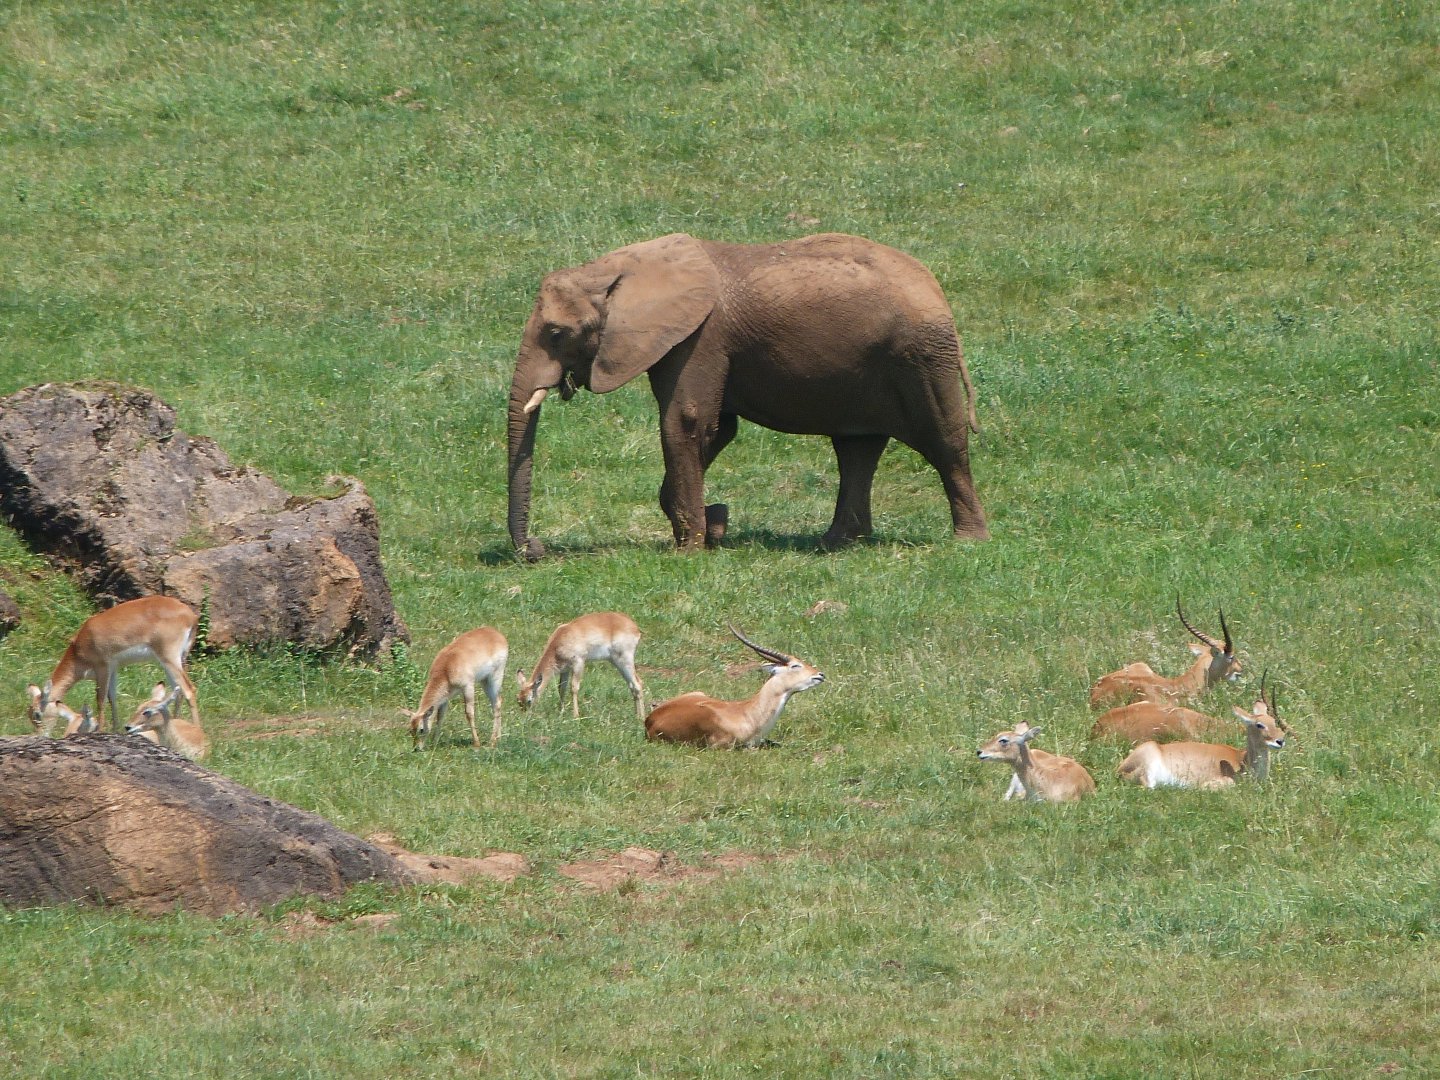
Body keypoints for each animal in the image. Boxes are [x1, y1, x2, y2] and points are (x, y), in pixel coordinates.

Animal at [506, 232, 989, 558]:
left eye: (556, 333)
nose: (536, 548)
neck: (613, 269)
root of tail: (938, 293)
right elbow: (717, 429)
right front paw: (711, 528)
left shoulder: (701, 337)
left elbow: (689, 421)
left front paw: (691, 549)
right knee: (857, 448)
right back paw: (836, 542)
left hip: (921, 356)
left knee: (943, 441)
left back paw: (968, 540)